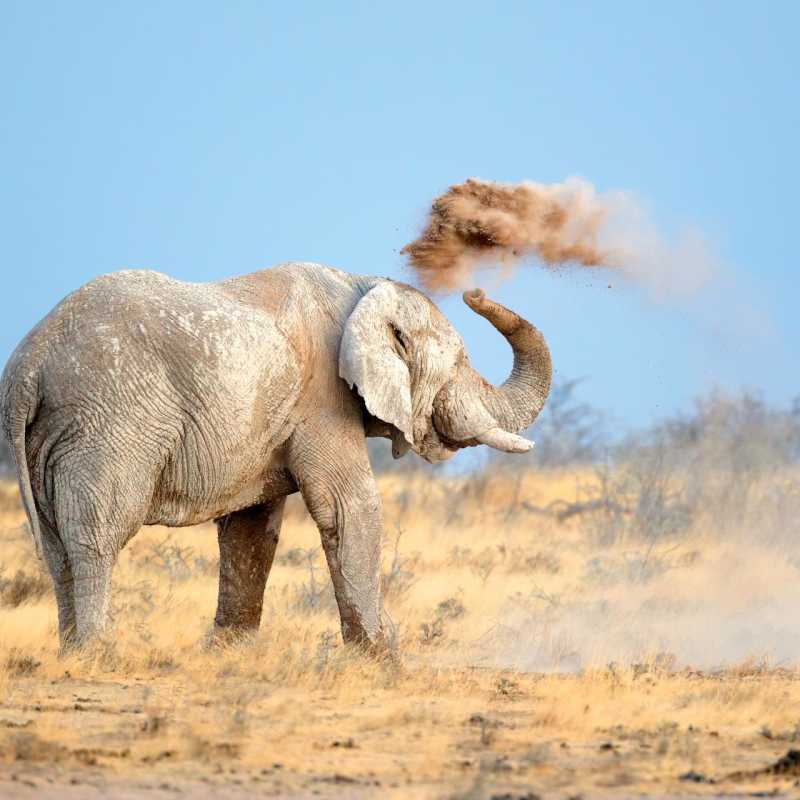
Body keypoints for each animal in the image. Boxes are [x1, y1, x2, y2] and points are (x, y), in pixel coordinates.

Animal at [0, 262, 551, 652]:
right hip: (110, 424)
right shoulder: (323, 399)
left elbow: (250, 529)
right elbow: (350, 508)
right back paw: (99, 654)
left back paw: (71, 653)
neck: (363, 285)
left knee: (56, 547)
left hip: (52, 436)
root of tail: (28, 365)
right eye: (460, 362)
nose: (474, 292)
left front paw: (229, 654)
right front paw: (384, 659)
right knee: (98, 535)